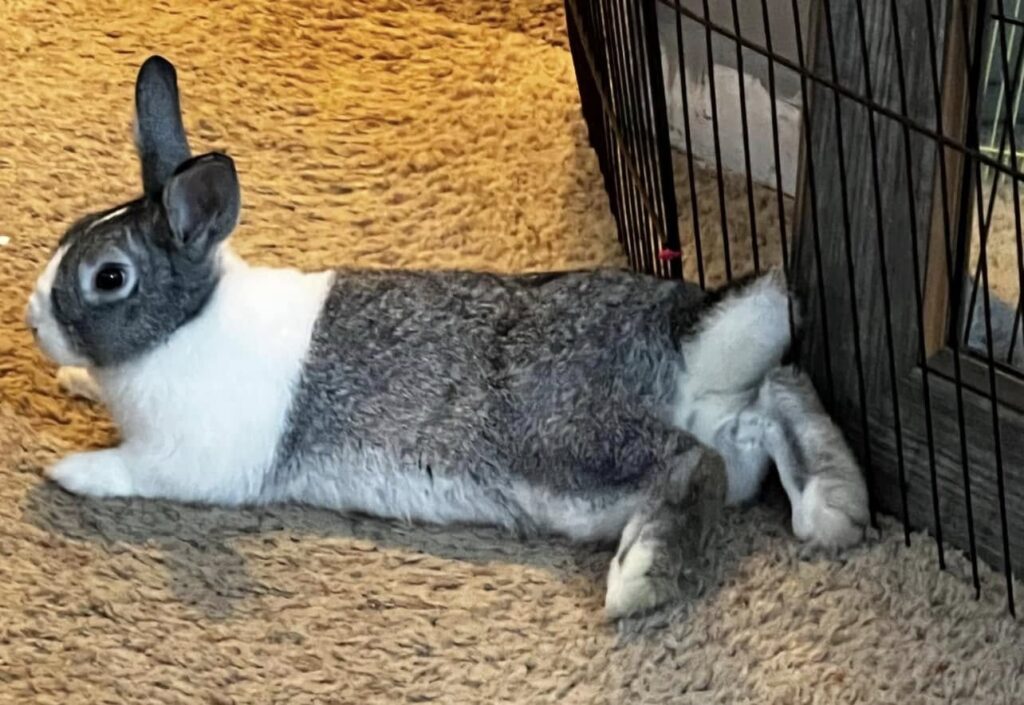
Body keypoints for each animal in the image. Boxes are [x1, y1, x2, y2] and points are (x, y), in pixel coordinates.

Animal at [25, 56, 869, 619]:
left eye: (108, 277)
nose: (34, 320)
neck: (189, 321)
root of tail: (687, 334)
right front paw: (72, 383)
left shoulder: (186, 460)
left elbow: (131, 470)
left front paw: (67, 470)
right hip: (692, 432)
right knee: (774, 400)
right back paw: (835, 506)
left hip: (567, 441)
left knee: (693, 462)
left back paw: (641, 578)